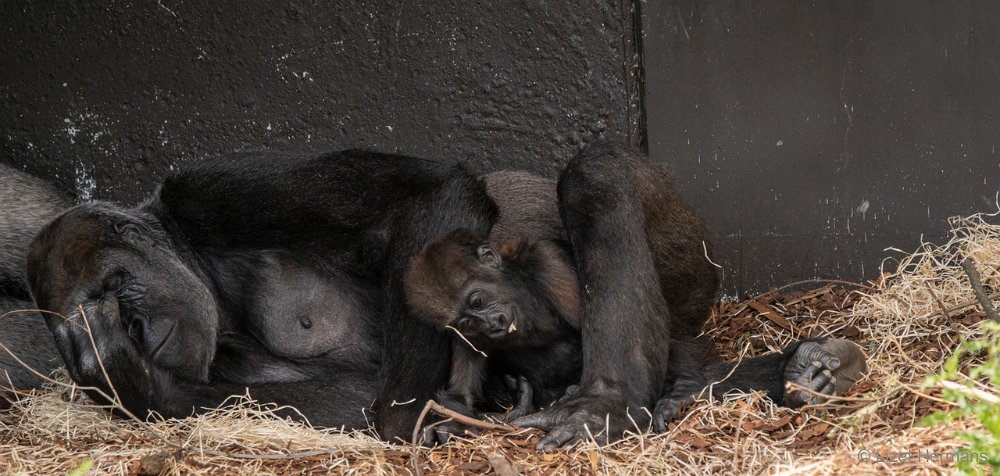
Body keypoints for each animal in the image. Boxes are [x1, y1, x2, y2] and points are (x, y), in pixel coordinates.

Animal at [406, 231, 868, 442]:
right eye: (467, 321)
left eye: (478, 300)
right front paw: (450, 419)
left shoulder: (554, 268)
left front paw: (683, 389)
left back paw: (807, 371)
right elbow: (462, 386)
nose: (491, 324)